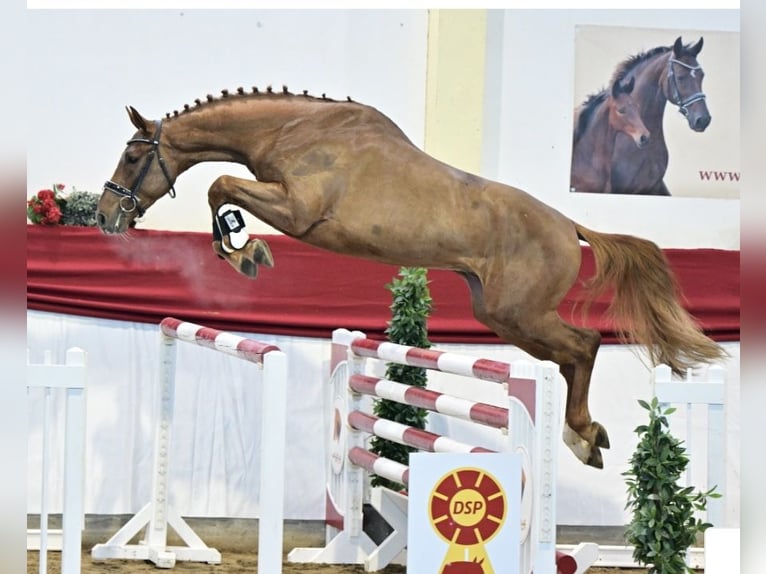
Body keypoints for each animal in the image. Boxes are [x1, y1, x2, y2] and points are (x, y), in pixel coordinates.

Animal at [96, 83, 728, 468]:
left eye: (133, 156)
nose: (104, 217)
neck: (294, 128)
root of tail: (568, 225)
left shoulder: (298, 211)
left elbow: (219, 186)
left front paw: (246, 254)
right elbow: (221, 188)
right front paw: (243, 250)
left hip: (519, 313)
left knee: (585, 344)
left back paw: (583, 435)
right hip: (501, 315)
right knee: (574, 353)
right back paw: (584, 437)